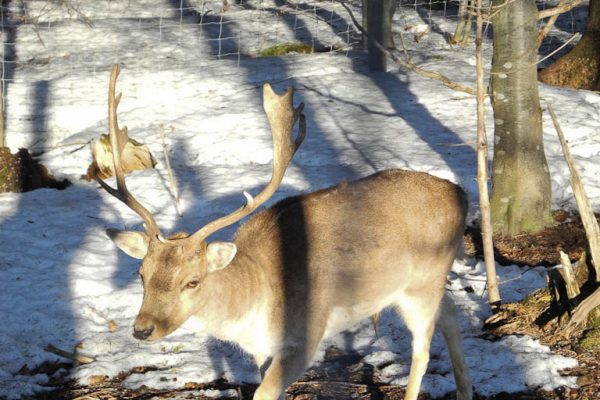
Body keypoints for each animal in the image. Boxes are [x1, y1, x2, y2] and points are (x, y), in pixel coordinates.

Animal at [96, 64, 472, 398]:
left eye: (192, 281)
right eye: (141, 274)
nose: (142, 329)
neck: (254, 303)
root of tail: (462, 195)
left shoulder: (306, 336)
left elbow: (264, 393)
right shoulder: (262, 349)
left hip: (420, 285)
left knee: (422, 350)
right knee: (450, 310)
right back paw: (465, 389)